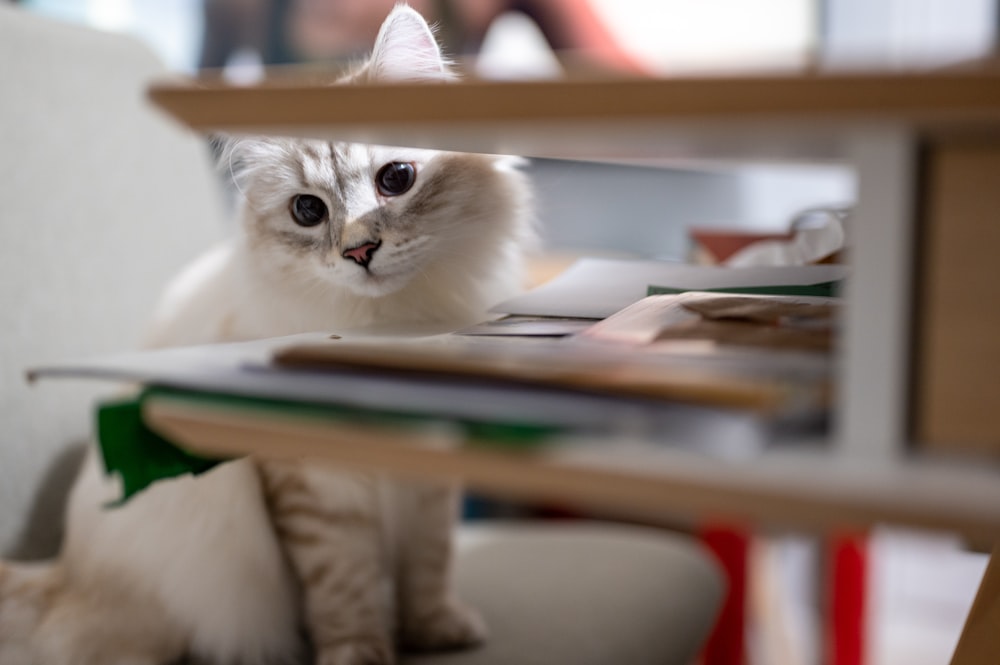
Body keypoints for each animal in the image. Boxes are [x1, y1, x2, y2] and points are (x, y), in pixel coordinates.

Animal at [0, 6, 536, 664]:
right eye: (308, 212)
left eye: (397, 179)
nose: (359, 251)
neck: (390, 329)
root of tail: (62, 573)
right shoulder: (315, 485)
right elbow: (344, 586)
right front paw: (360, 652)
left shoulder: (430, 475)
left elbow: (429, 564)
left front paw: (437, 632)